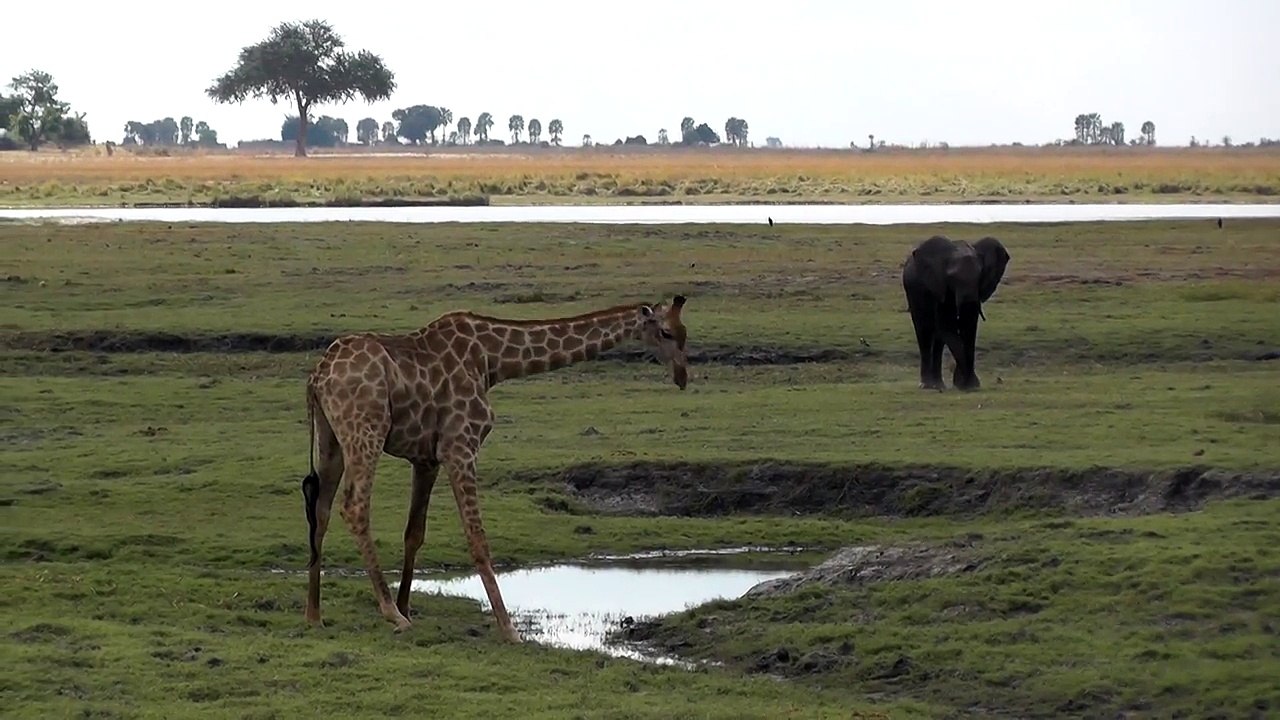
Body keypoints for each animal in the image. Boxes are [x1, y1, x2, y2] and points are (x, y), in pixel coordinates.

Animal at [299, 295, 690, 642]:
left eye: (684, 332)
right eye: (666, 332)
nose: (683, 377)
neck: (491, 360)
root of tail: (317, 376)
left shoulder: (426, 458)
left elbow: (414, 533)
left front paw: (407, 606)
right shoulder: (461, 446)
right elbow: (477, 538)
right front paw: (508, 629)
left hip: (331, 439)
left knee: (321, 509)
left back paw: (315, 614)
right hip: (365, 431)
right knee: (354, 506)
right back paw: (388, 613)